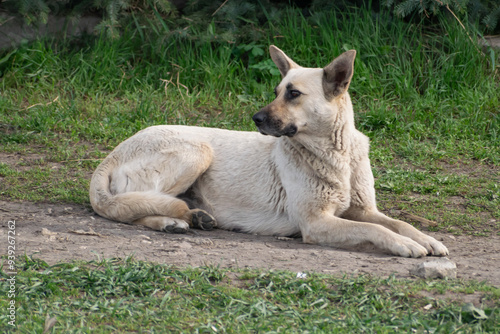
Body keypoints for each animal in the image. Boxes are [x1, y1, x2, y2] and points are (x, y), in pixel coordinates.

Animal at [90, 45, 450, 258]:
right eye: (276, 91)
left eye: (293, 94)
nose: (256, 119)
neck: (337, 155)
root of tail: (113, 154)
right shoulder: (316, 223)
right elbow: (374, 229)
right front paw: (405, 245)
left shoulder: (362, 210)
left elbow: (397, 222)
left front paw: (426, 239)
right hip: (197, 151)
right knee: (128, 207)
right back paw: (175, 219)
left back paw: (187, 218)